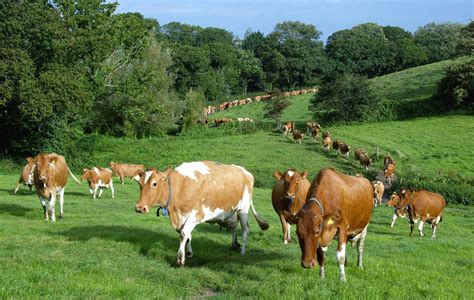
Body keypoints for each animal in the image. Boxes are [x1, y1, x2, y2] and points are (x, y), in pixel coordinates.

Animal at [135, 161, 268, 266]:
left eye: (154, 183)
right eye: (140, 184)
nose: (139, 208)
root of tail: (246, 172)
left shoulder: (196, 215)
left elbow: (183, 234)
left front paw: (180, 259)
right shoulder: (182, 217)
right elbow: (188, 235)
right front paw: (189, 253)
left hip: (243, 209)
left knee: (245, 229)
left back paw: (243, 251)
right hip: (231, 212)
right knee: (234, 227)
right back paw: (234, 244)